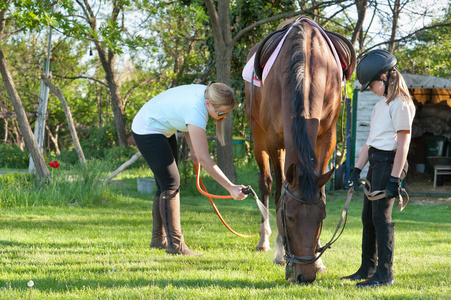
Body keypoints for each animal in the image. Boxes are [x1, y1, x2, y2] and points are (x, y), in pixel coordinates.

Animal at [245, 17, 354, 284]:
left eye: (321, 217)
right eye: (289, 218)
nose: (306, 275)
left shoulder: (328, 137)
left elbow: (320, 190)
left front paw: (321, 262)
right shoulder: (275, 141)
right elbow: (278, 193)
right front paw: (280, 253)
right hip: (259, 138)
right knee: (266, 184)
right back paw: (264, 241)